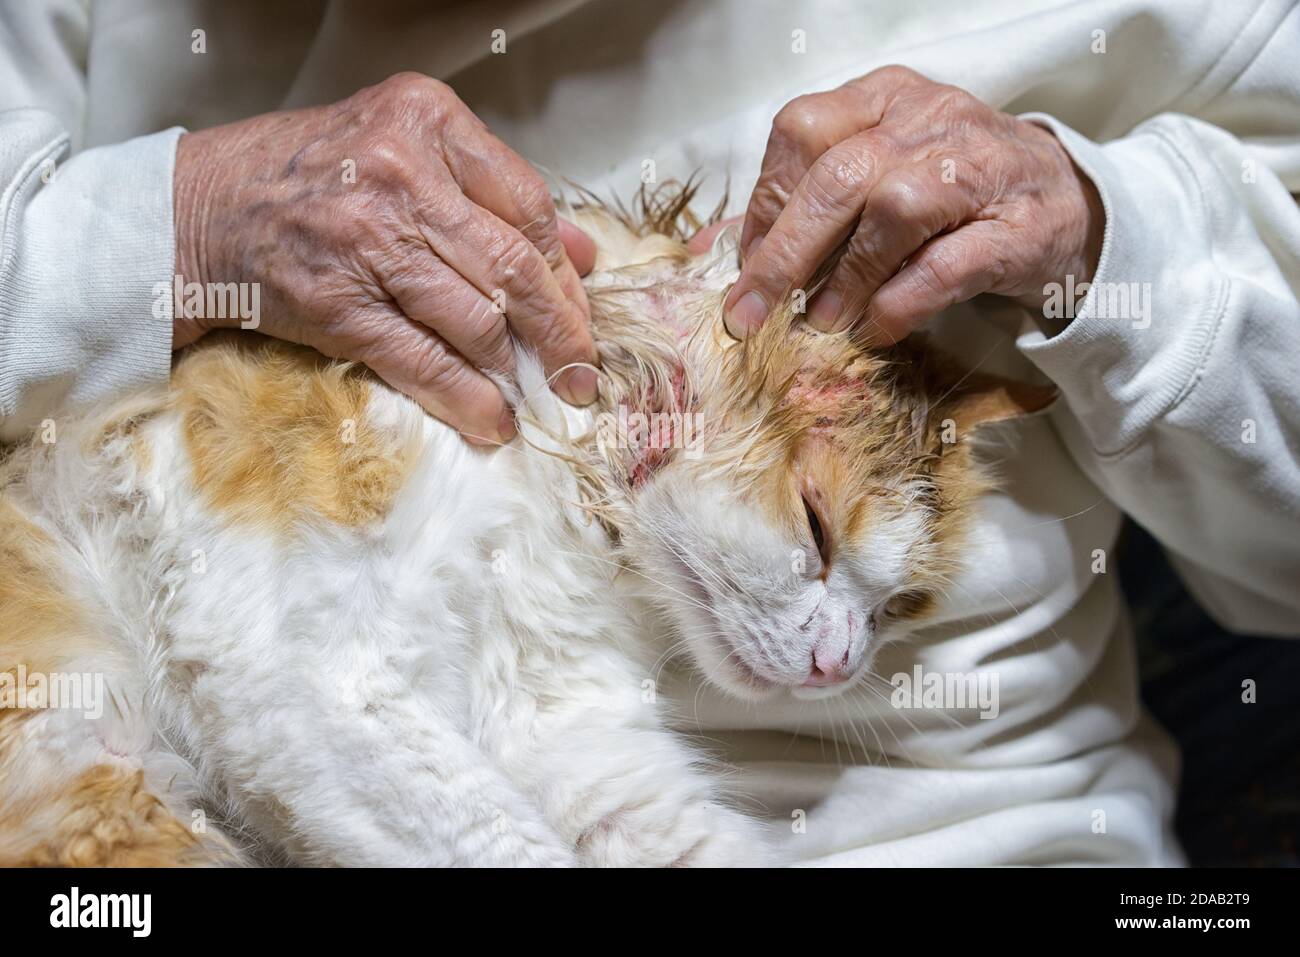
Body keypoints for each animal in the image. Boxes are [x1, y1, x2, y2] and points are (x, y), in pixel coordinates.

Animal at [0, 188, 1050, 868]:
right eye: (817, 525)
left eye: (899, 607)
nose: (837, 664)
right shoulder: (315, 682)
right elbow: (505, 839)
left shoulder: (570, 739)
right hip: (98, 768)